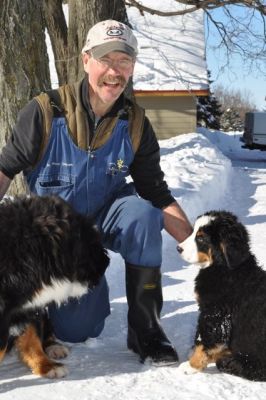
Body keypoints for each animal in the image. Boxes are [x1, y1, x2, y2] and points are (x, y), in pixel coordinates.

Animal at [0, 196, 109, 378]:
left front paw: (47, 365)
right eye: (91, 242)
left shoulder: (29, 305)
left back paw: (53, 348)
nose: (106, 262)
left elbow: (32, 337)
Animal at [178, 209, 266, 382]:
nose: (179, 248)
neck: (224, 267)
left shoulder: (215, 312)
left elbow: (204, 340)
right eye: (193, 231)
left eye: (201, 238)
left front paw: (192, 365)